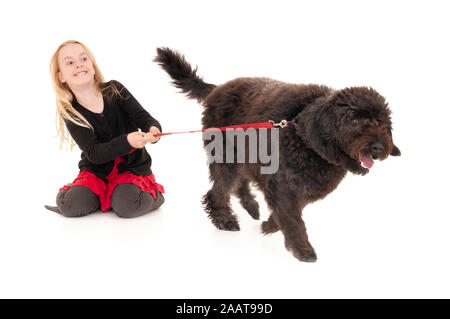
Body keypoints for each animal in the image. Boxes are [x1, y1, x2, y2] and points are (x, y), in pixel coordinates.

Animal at [155, 47, 400, 262]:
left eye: (382, 123)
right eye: (354, 121)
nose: (378, 147)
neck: (304, 135)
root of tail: (218, 89)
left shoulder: (299, 188)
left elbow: (285, 213)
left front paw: (269, 225)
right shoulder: (282, 185)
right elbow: (292, 219)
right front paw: (303, 249)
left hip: (244, 154)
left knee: (240, 183)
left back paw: (252, 208)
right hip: (226, 156)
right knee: (217, 191)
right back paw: (225, 220)